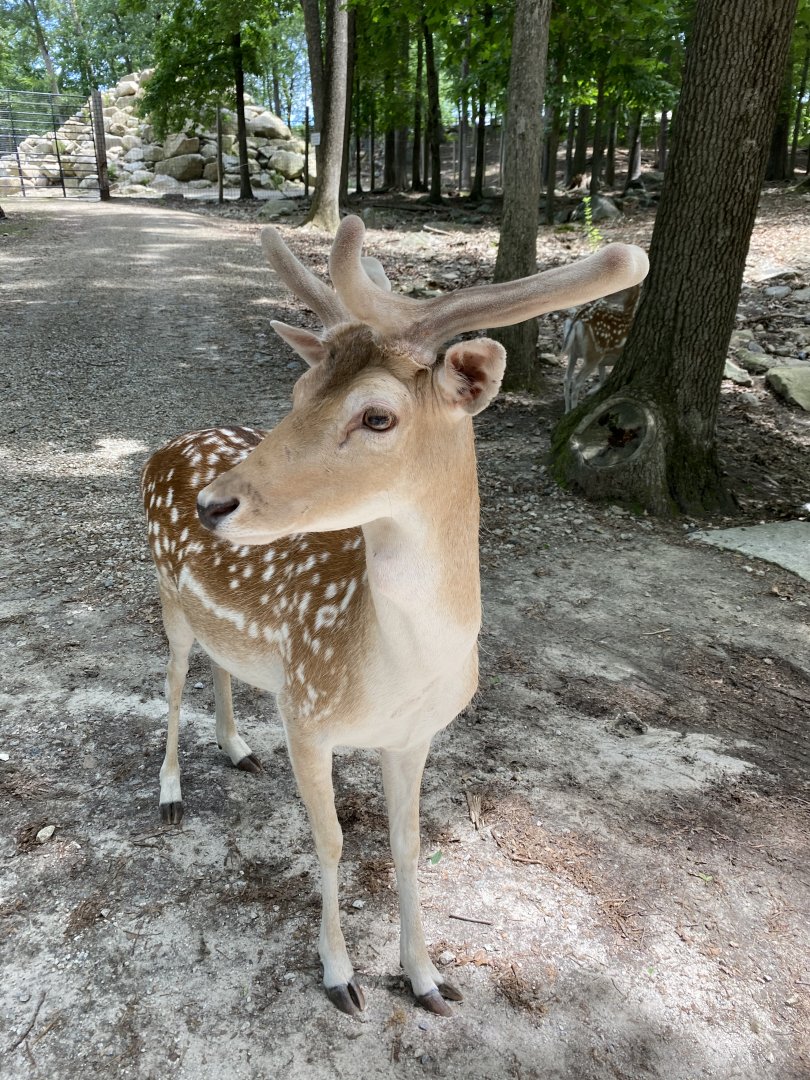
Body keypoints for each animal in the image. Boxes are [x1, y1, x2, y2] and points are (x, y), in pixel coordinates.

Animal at [561, 283, 641, 413]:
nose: (601, 297)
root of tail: (577, 320)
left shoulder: (603, 361)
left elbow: (603, 379)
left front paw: (594, 390)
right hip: (594, 353)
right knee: (576, 381)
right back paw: (574, 409)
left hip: (573, 351)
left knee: (566, 378)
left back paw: (567, 411)